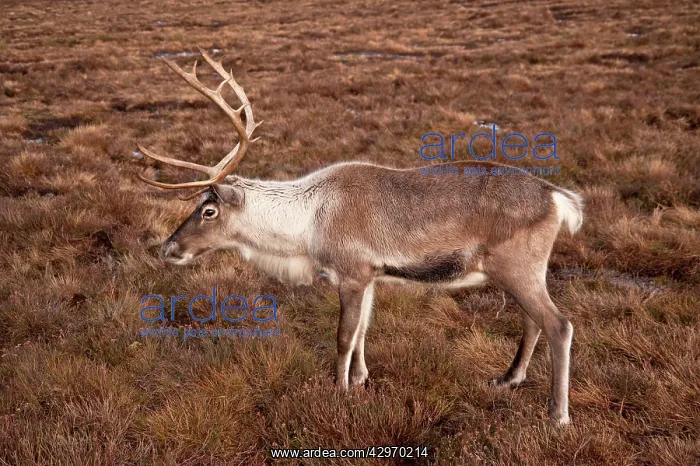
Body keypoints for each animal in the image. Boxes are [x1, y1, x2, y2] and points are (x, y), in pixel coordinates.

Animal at [136, 48, 583, 426]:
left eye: (208, 210)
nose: (168, 248)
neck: (306, 224)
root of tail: (557, 196)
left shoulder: (351, 273)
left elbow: (343, 337)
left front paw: (339, 392)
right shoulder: (370, 275)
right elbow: (364, 332)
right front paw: (361, 379)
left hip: (516, 267)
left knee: (558, 324)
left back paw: (557, 415)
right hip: (522, 271)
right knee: (532, 321)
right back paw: (507, 379)